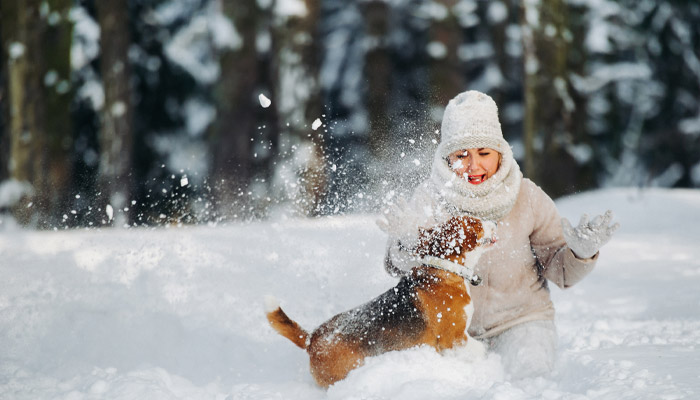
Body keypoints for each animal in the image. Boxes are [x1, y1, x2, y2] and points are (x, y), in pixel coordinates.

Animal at [266, 216, 494, 388]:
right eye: (476, 223)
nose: (494, 222)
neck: (444, 268)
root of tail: (311, 338)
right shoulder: (455, 339)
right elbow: (479, 349)